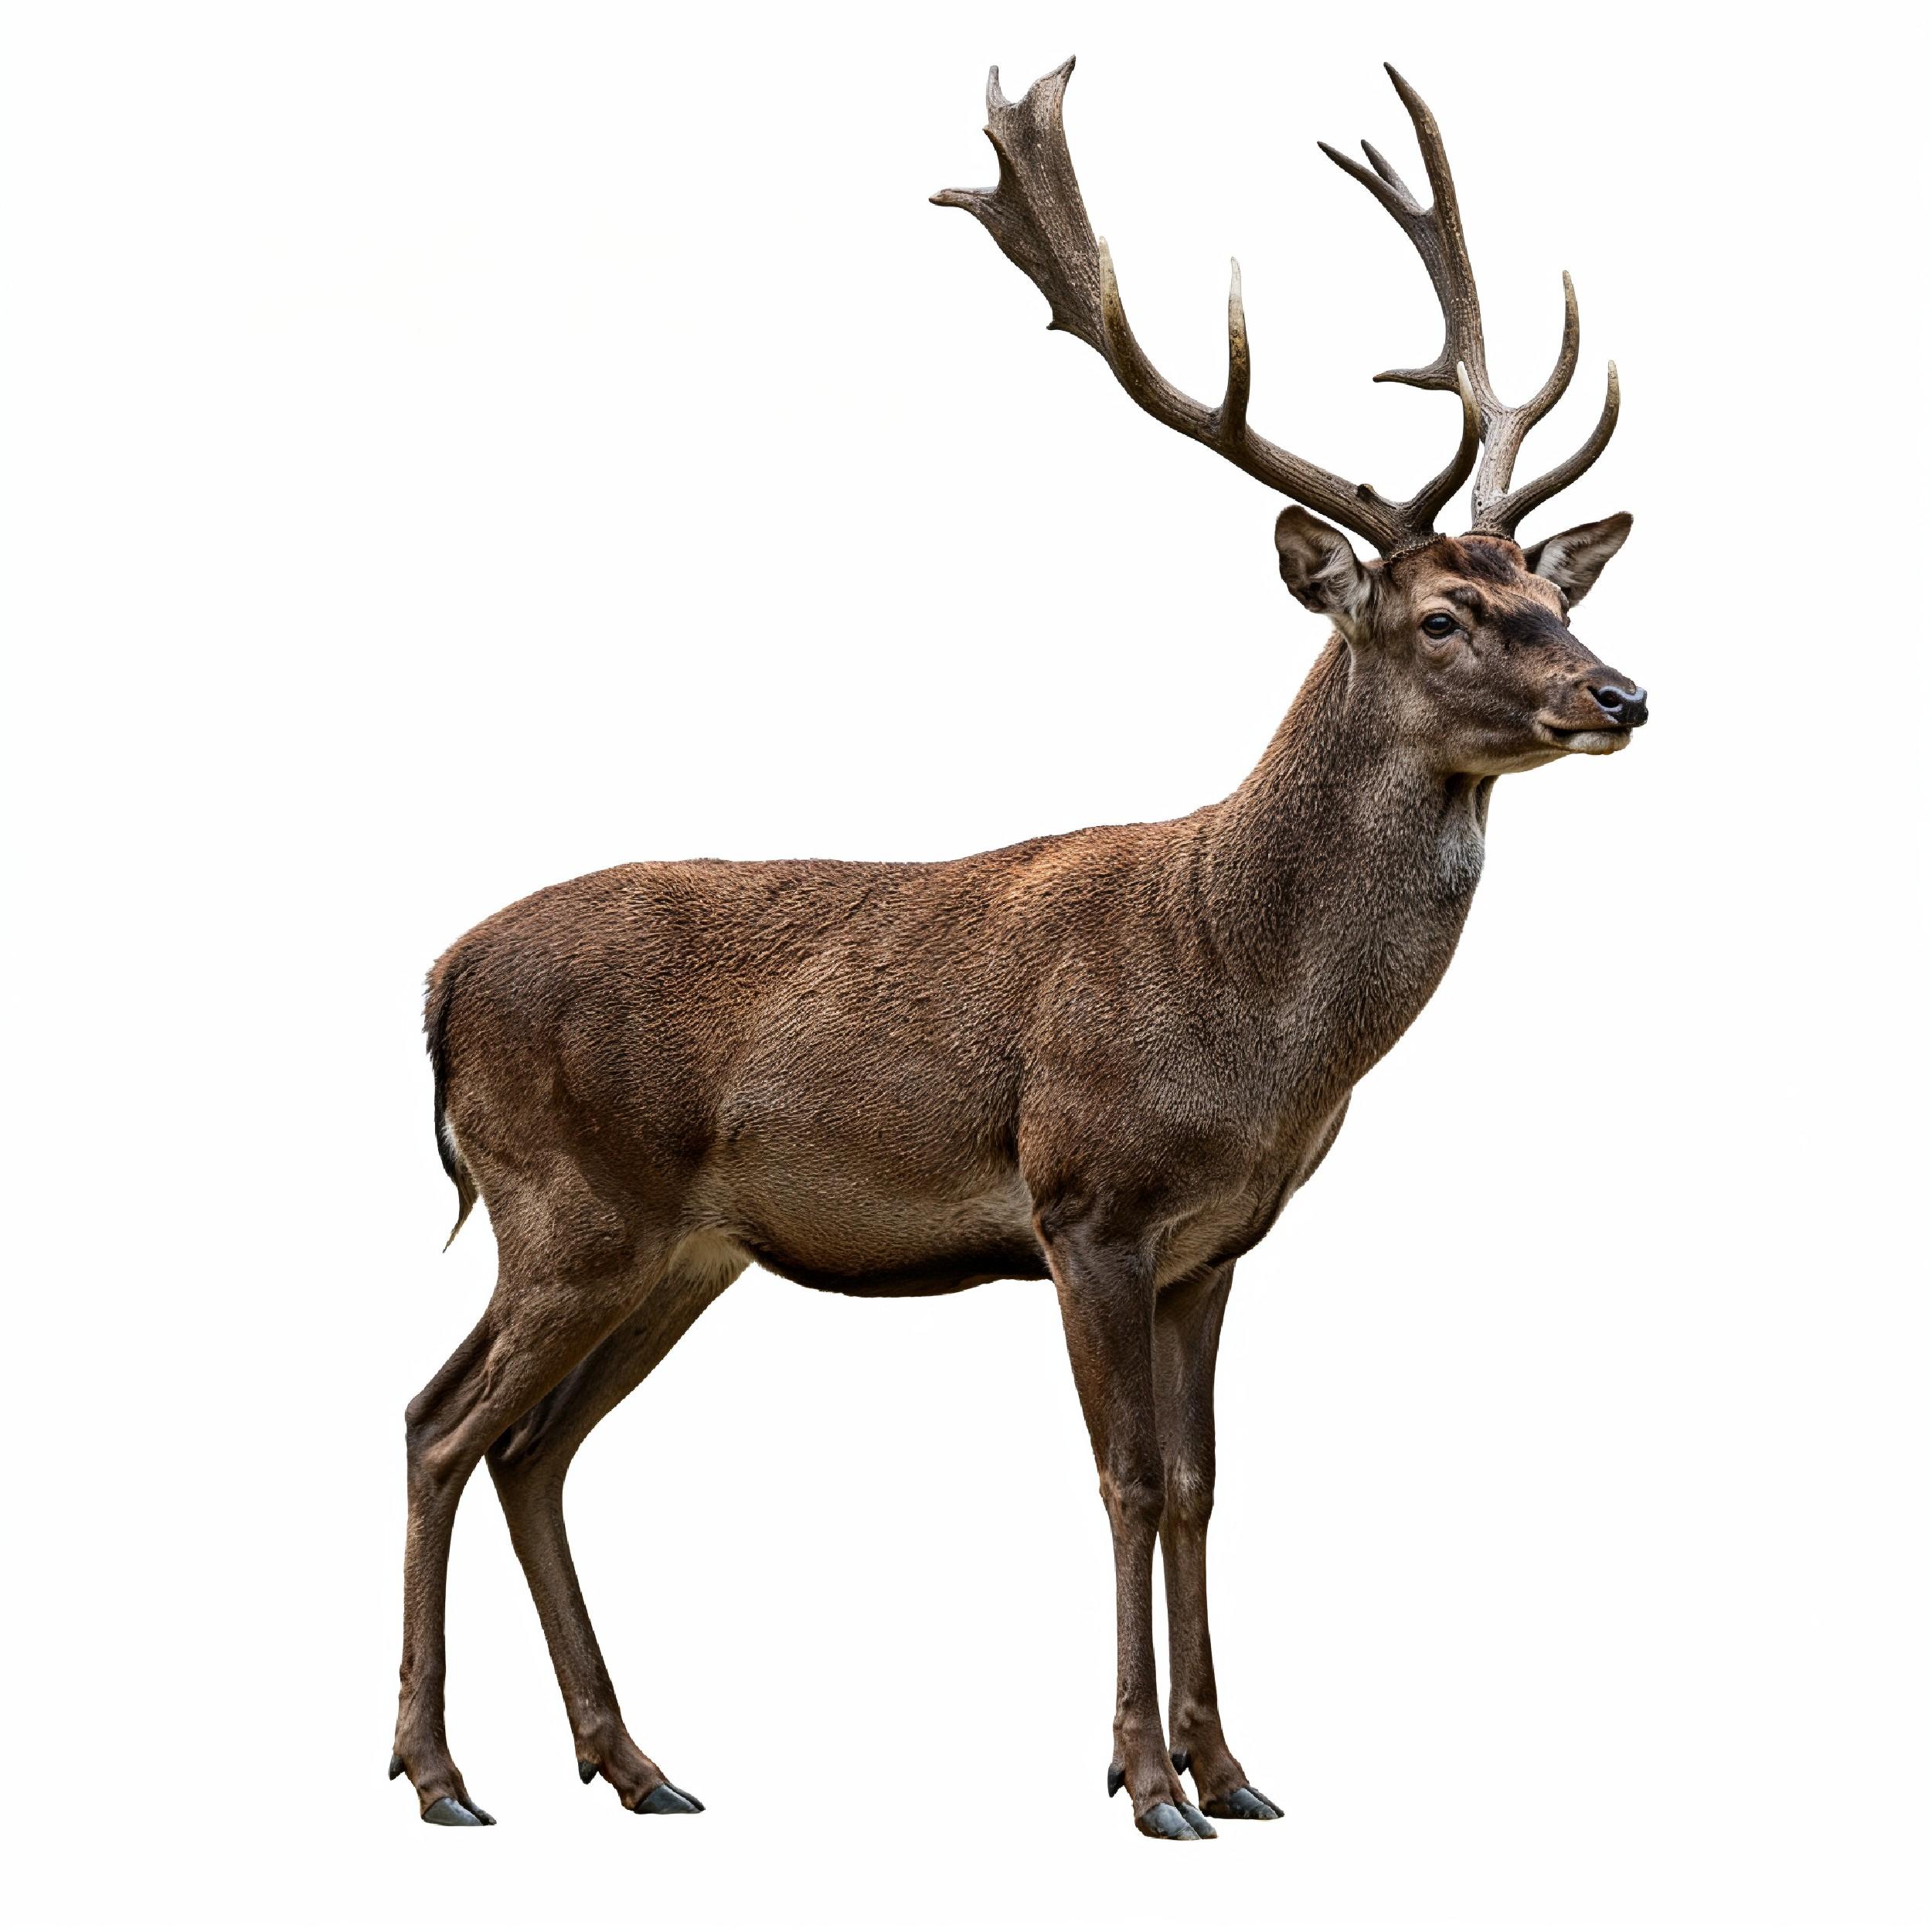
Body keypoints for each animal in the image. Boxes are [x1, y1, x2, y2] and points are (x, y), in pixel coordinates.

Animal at [390, 58, 1647, 1841]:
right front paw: (1144, 1782)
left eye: (1554, 592)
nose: (1621, 692)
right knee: (439, 1426)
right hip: (560, 1202)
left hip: (671, 1246)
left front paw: (1236, 1770)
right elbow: (1124, 1478)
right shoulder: (1085, 1199)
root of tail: (434, 981)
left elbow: (1201, 1484)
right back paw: (439, 1774)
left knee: (529, 1448)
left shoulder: (1218, 1241)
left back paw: (633, 1764)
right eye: (1443, 618)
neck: (1252, 1007)